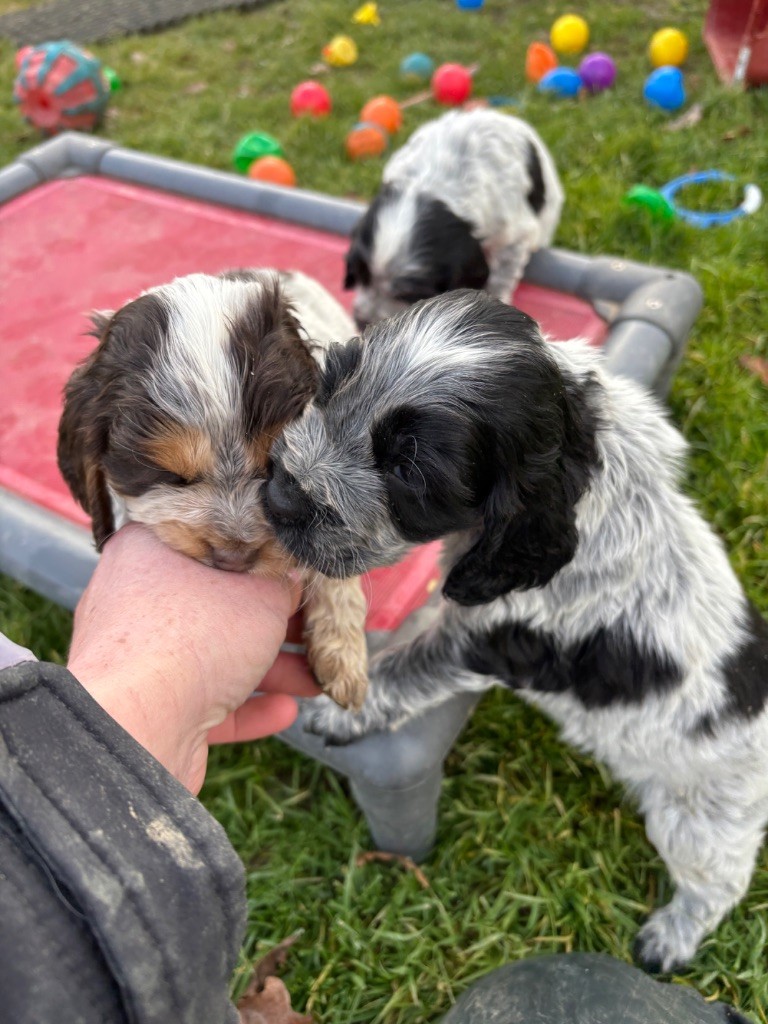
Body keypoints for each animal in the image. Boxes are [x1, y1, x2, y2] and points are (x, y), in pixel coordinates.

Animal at [264, 290, 768, 974]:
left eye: (411, 471)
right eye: (331, 383)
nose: (278, 496)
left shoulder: (490, 635)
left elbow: (408, 669)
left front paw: (343, 711)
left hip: (702, 817)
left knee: (718, 883)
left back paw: (672, 938)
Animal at [346, 108, 561, 325]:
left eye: (408, 294)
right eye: (361, 274)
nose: (362, 322)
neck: (431, 185)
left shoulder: (514, 237)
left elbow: (500, 277)